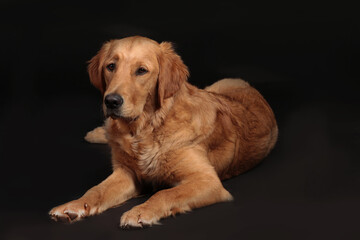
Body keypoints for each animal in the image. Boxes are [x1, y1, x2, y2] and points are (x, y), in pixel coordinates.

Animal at [48, 35, 278, 227]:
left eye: (141, 70)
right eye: (111, 66)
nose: (111, 101)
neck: (144, 130)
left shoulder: (207, 180)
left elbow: (165, 194)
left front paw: (140, 212)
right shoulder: (127, 173)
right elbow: (97, 190)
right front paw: (74, 205)